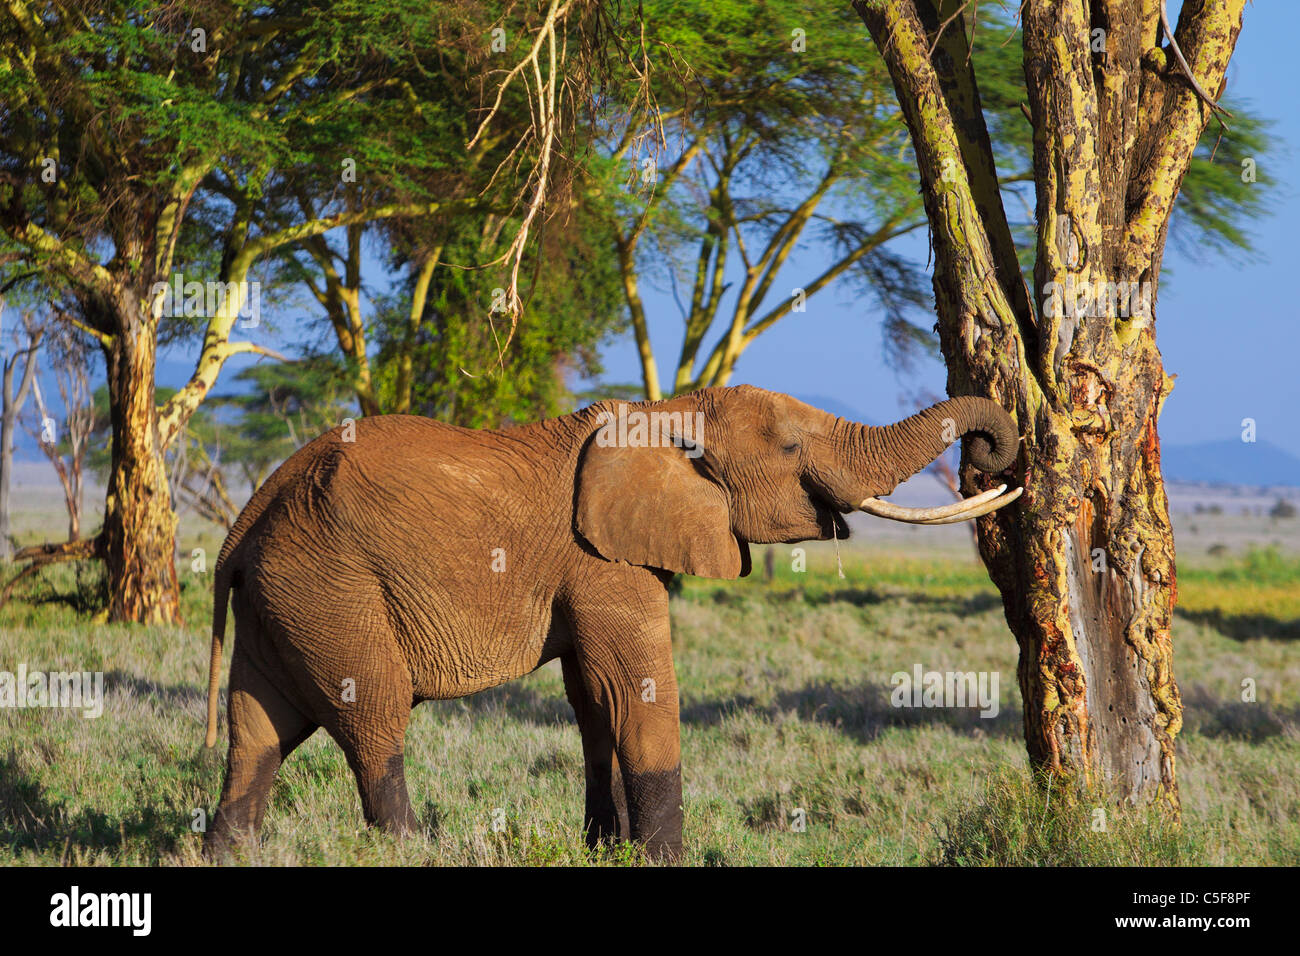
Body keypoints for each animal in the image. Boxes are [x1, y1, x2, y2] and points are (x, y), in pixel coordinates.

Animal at [202, 385, 1019, 863]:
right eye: (791, 448)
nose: (987, 454)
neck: (667, 411)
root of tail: (245, 521)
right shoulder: (603, 560)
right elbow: (639, 689)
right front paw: (665, 861)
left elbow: (595, 700)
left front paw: (604, 849)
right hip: (331, 588)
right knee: (372, 713)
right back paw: (409, 850)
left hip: (286, 596)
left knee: (258, 728)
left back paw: (224, 853)